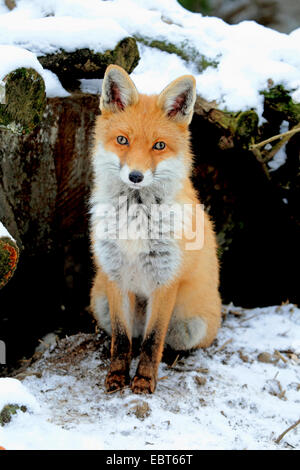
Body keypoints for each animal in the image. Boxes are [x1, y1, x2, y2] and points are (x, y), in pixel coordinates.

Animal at [89, 64, 220, 394]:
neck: (136, 217)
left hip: (192, 325)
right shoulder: (115, 274)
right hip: (99, 302)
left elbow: (153, 340)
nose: (136, 176)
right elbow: (122, 339)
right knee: (128, 335)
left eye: (159, 145)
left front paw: (145, 380)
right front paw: (116, 376)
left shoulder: (165, 279)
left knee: (171, 342)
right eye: (122, 140)